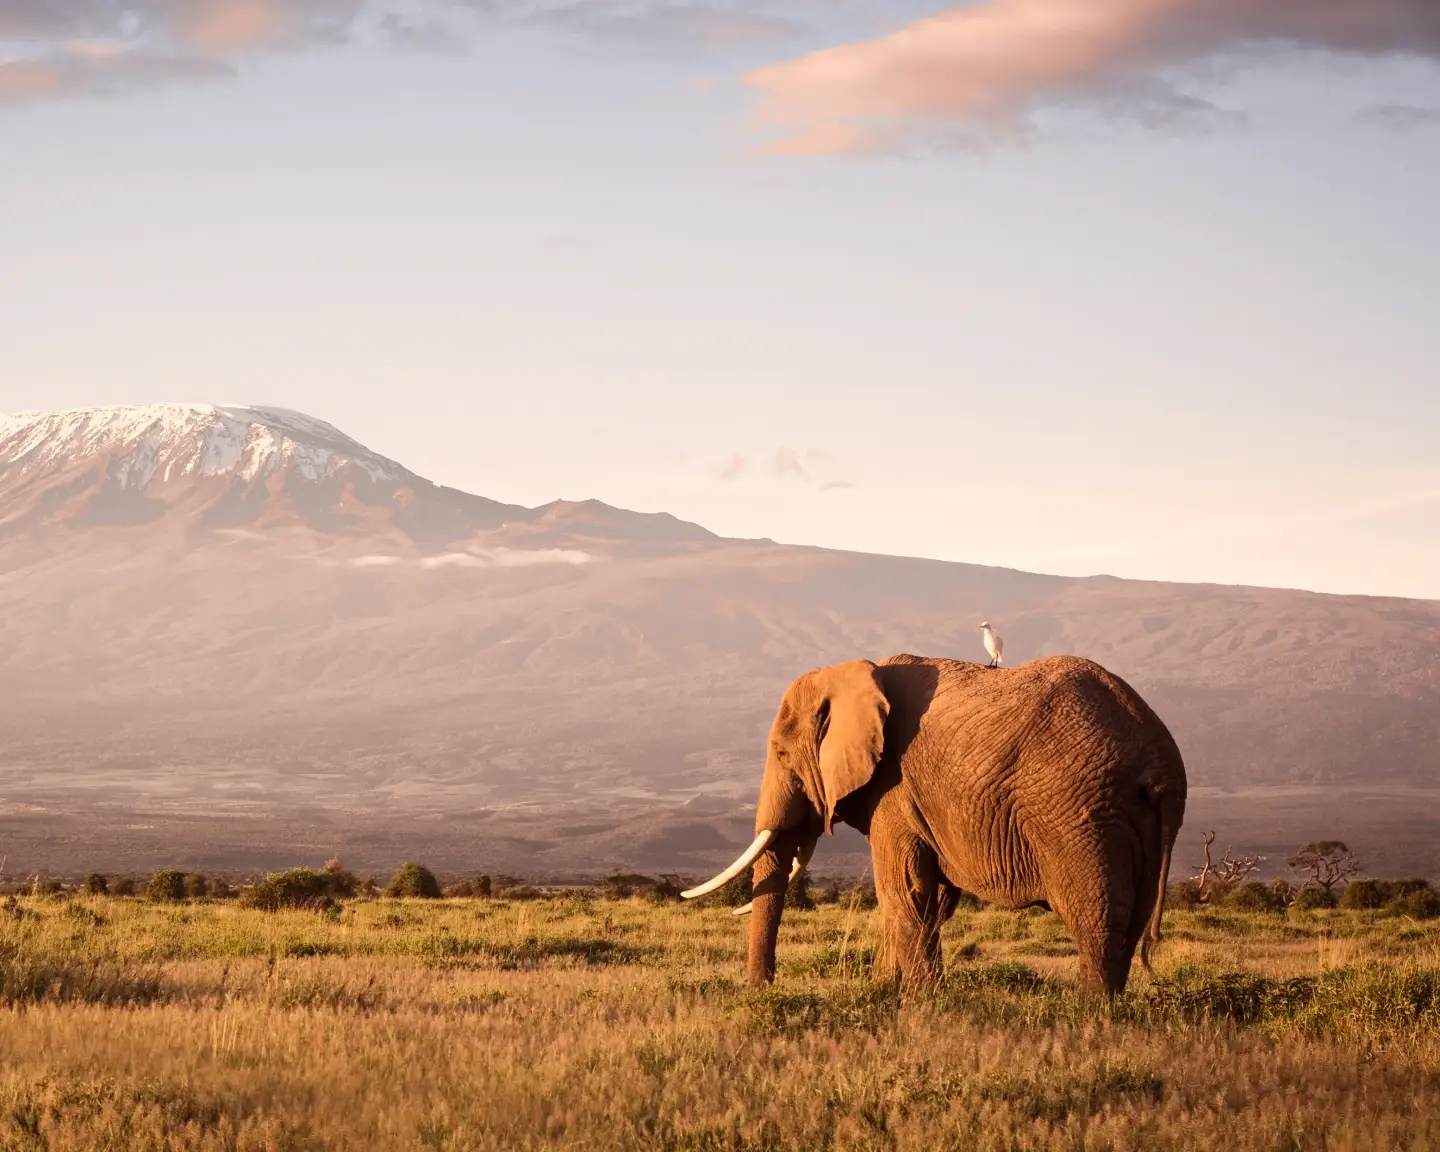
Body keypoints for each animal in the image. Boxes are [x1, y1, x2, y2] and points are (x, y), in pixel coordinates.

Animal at [682, 654, 1186, 996]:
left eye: (782, 754)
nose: (762, 989)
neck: (855, 671)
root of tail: (1158, 760)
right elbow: (928, 899)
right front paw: (884, 990)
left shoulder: (895, 791)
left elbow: (903, 891)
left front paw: (920, 1002)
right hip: (1132, 821)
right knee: (1132, 922)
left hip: (1079, 816)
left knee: (1096, 918)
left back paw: (1089, 1014)